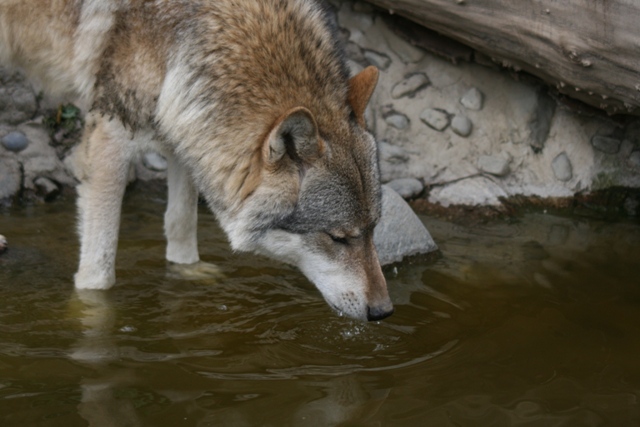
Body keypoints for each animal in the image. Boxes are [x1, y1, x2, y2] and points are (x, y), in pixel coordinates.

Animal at [0, 0, 392, 320]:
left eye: (374, 229)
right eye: (338, 238)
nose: (383, 311)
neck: (190, 32)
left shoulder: (183, 123)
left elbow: (181, 220)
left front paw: (186, 270)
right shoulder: (110, 137)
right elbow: (100, 265)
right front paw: (90, 312)